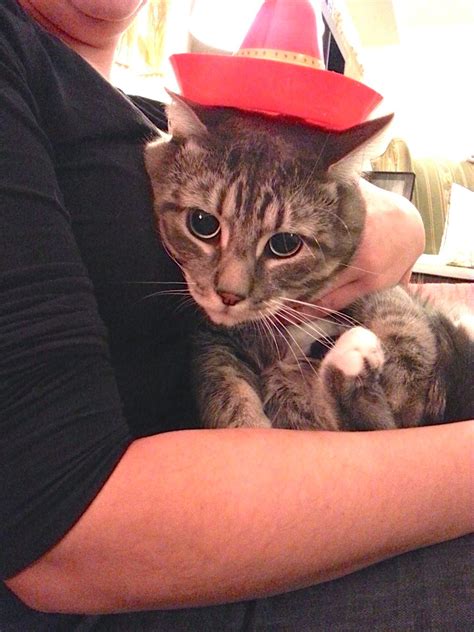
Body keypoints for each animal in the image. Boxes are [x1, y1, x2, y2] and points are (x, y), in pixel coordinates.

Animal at [145, 93, 474, 431]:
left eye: (285, 244)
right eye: (202, 223)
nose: (229, 295)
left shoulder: (375, 283)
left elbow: (399, 317)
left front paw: (399, 383)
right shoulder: (212, 340)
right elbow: (227, 392)